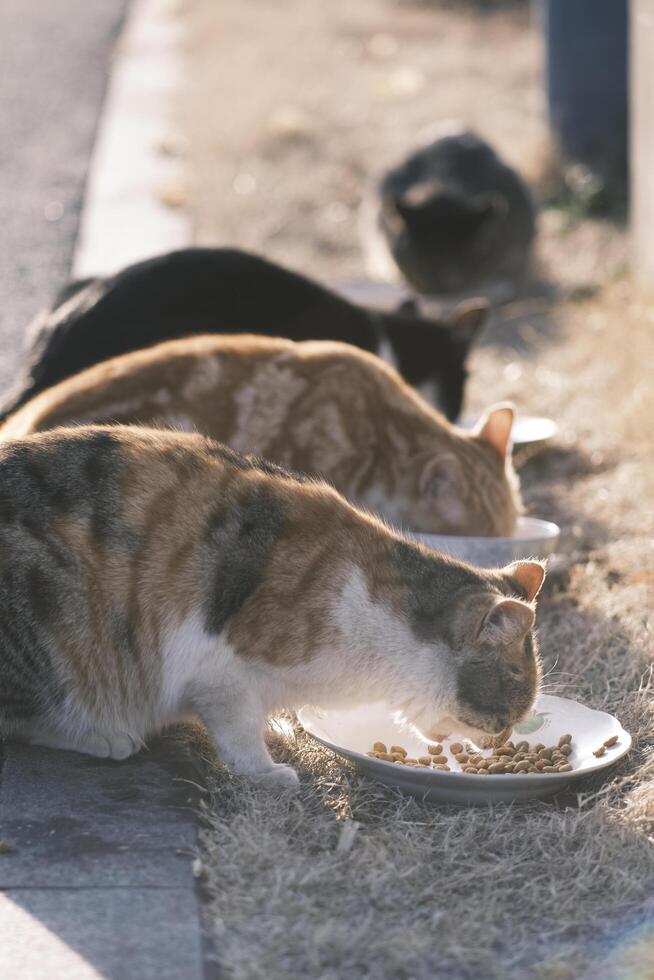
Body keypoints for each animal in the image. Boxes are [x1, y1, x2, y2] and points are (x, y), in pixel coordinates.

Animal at [0, 424, 544, 788]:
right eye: (507, 714)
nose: (501, 744)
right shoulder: (221, 671)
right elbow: (239, 731)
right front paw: (267, 771)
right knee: (29, 721)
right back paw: (104, 736)